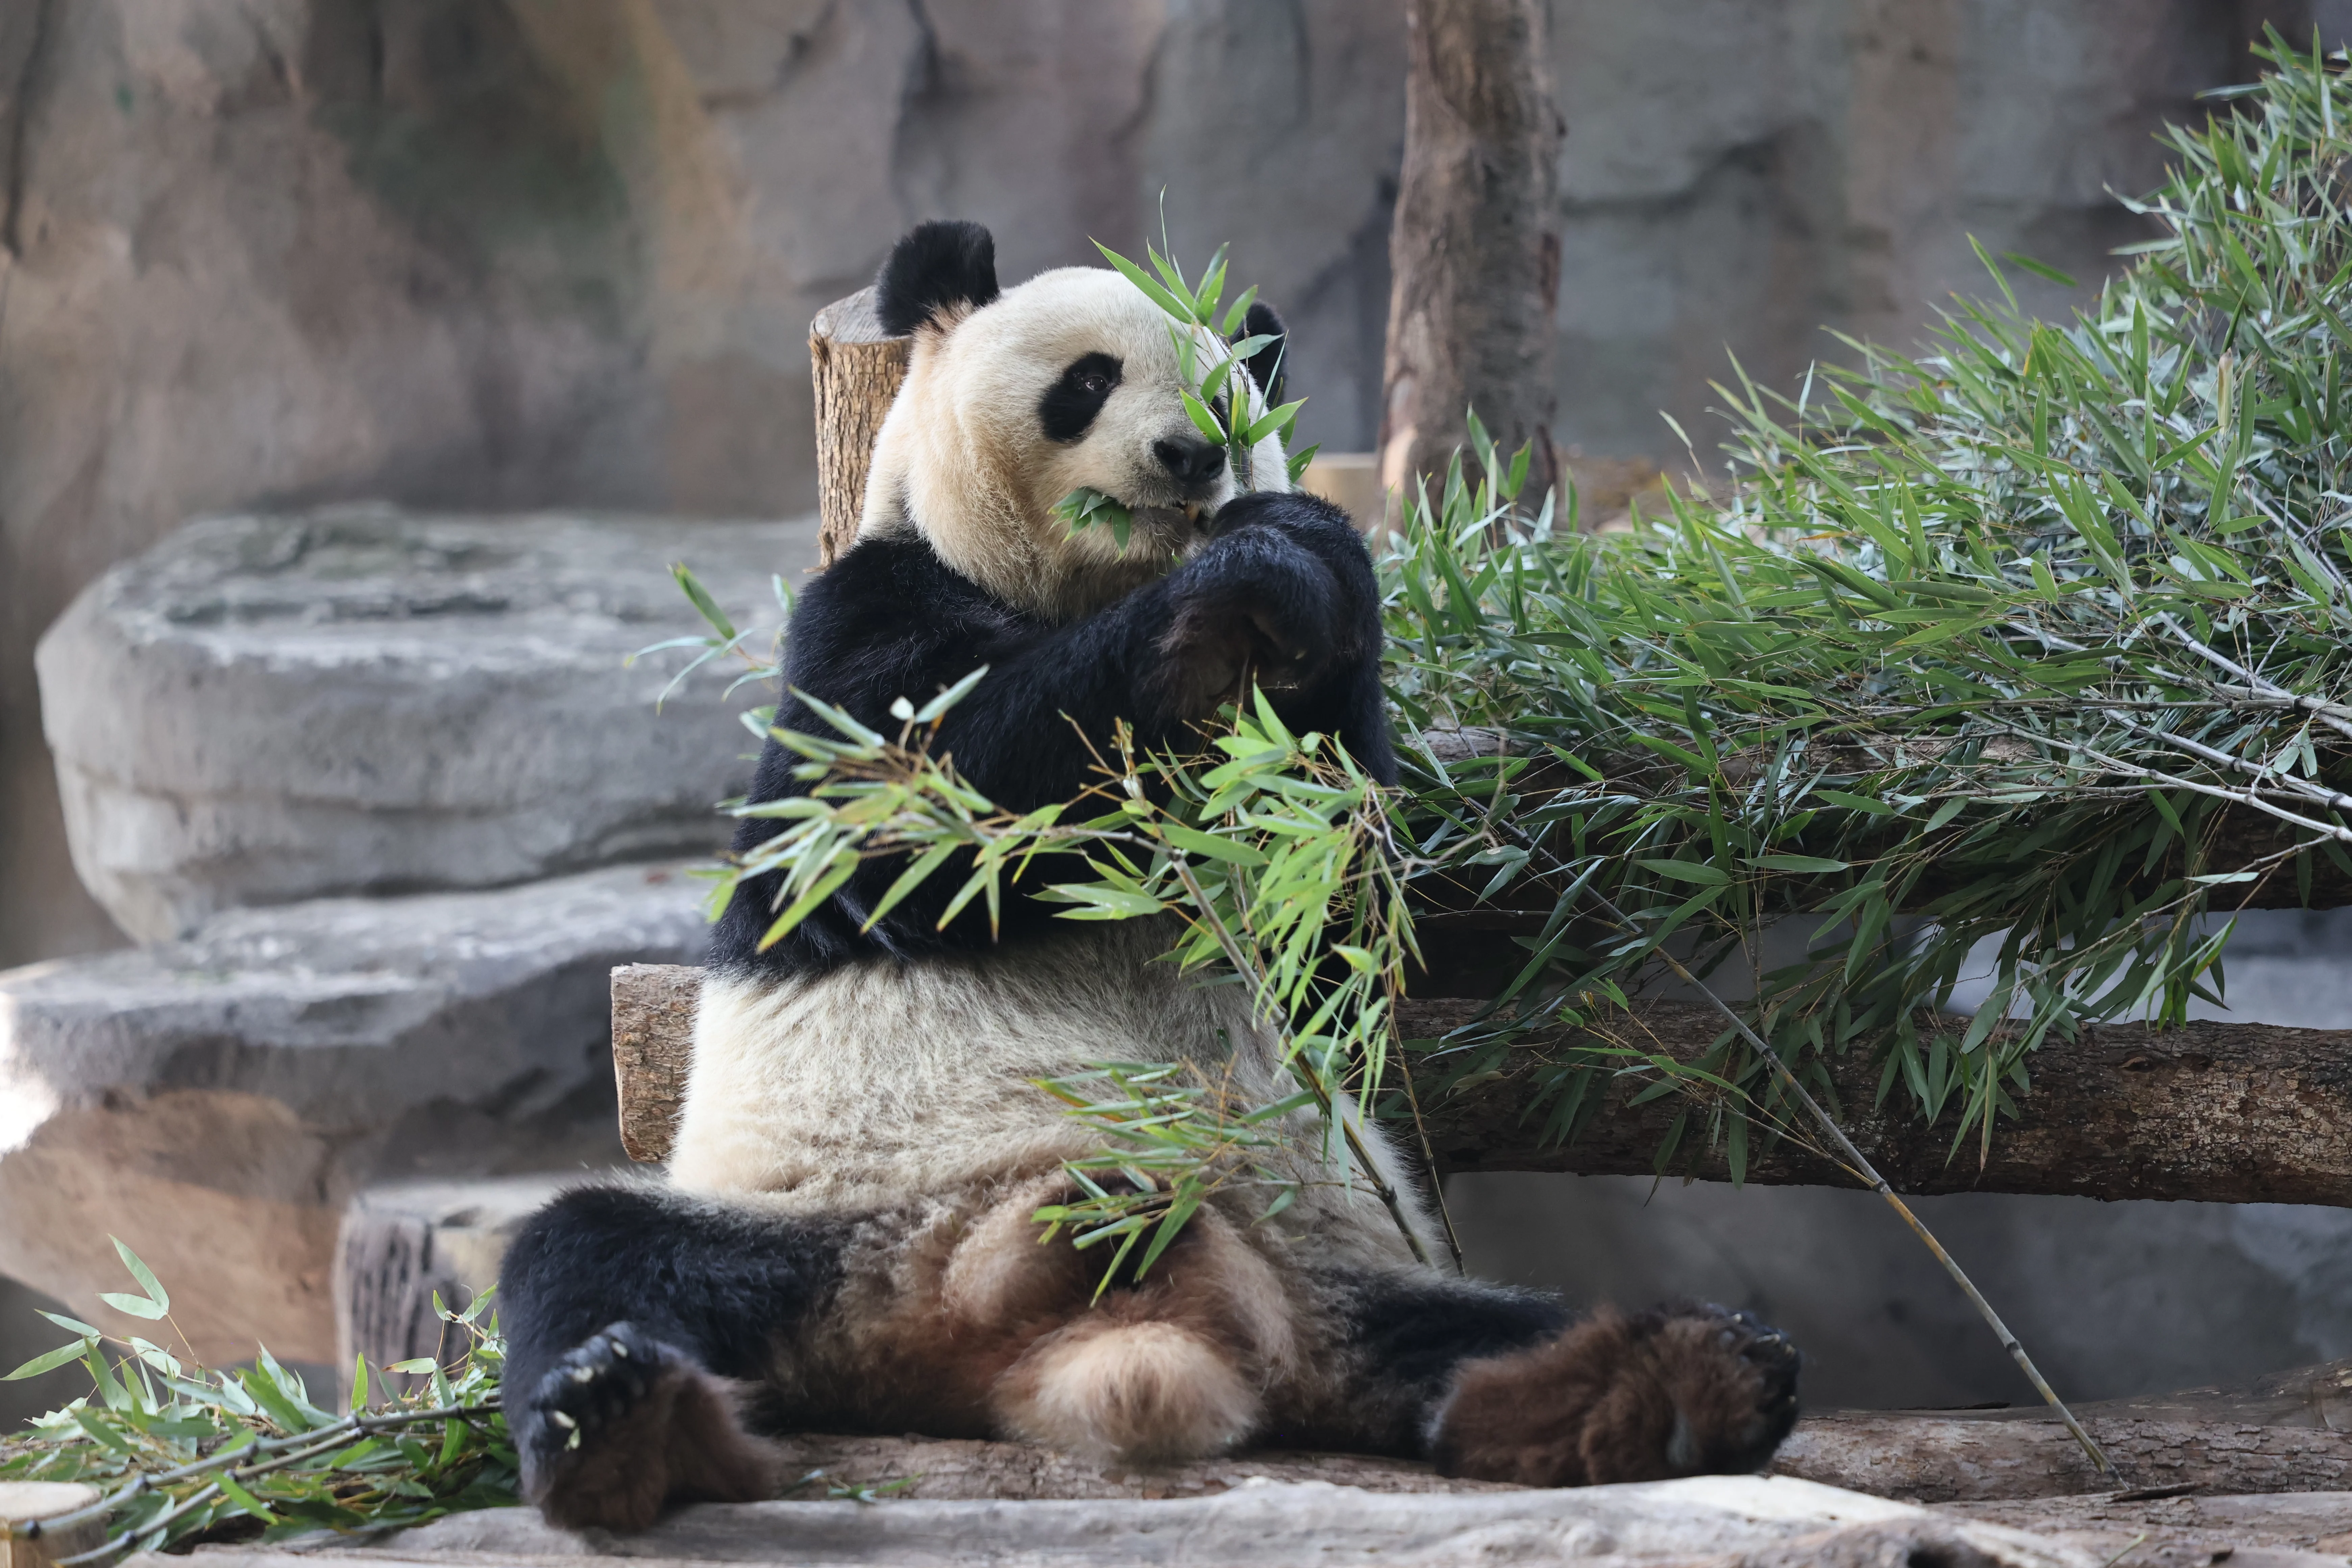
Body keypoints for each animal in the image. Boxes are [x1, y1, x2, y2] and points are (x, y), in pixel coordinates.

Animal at [498, 220, 1801, 1532]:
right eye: (1087, 380)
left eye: (1230, 395)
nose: (1191, 457)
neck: (1080, 586)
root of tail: (1054, 1335)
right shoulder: (862, 620)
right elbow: (918, 820)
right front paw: (1234, 589)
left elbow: (1344, 921)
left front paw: (1298, 574)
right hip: (829, 1235)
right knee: (594, 1255)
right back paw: (616, 1420)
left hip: (1325, 1255)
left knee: (1485, 1332)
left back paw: (1680, 1379)